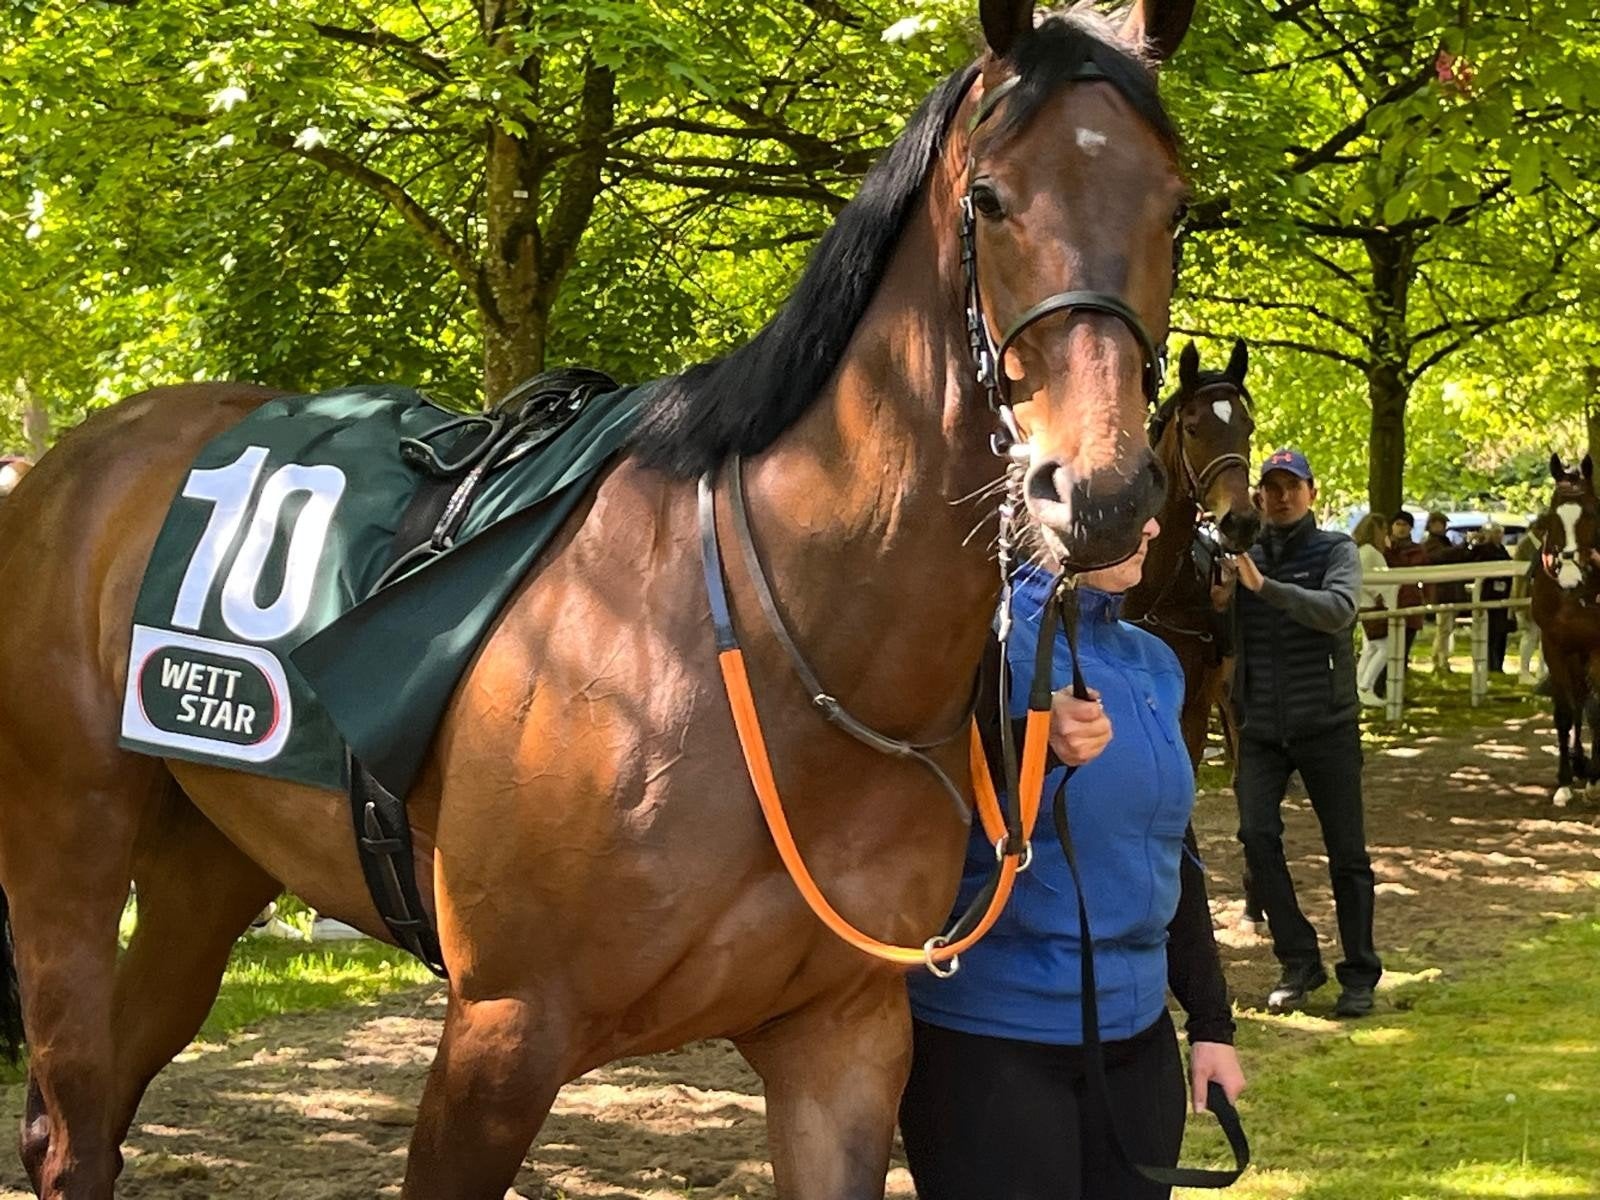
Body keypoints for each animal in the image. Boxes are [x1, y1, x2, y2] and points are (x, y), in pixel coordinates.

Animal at [0, 3, 1196, 1196]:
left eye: (1178, 209)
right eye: (990, 198)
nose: (1096, 492)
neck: (783, 641)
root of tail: (76, 461)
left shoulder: (844, 1037)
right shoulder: (500, 1033)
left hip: (207, 863)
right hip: (64, 857)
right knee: (73, 1123)